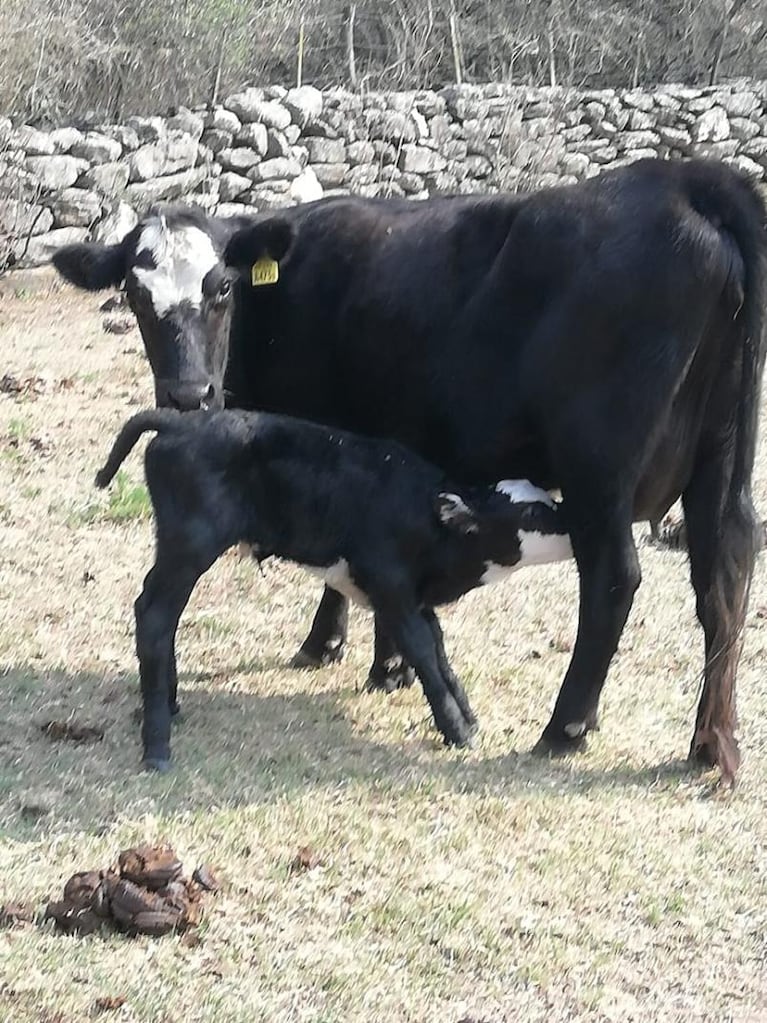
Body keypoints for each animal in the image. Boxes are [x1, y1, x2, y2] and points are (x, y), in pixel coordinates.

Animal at [96, 405, 572, 769]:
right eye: (531, 514)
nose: (573, 525)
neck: (429, 518)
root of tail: (181, 422)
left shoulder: (416, 599)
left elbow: (440, 653)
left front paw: (468, 719)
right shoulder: (391, 592)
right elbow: (423, 654)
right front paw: (457, 731)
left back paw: (170, 706)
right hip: (190, 546)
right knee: (155, 615)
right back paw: (157, 743)